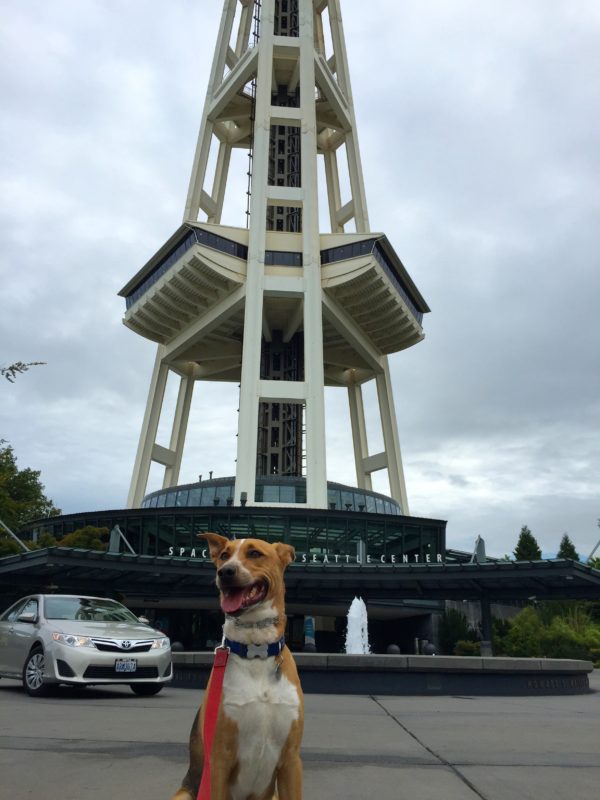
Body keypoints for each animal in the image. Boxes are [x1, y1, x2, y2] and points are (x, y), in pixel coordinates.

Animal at [171, 532, 304, 800]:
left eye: (254, 553)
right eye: (224, 555)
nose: (225, 572)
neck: (256, 650)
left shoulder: (292, 760)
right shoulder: (219, 761)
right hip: (184, 794)